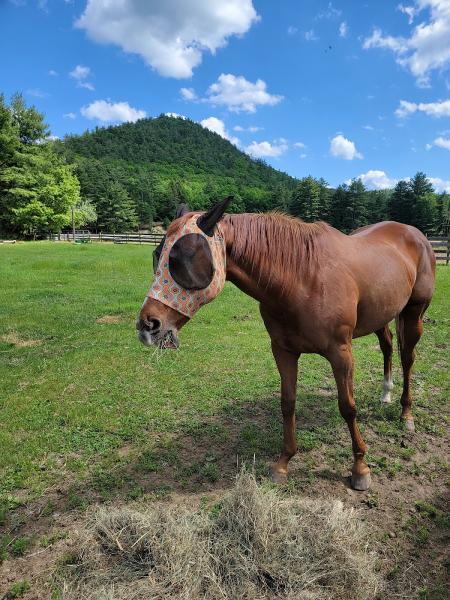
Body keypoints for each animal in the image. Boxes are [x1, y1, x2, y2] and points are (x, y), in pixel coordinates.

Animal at [137, 199, 436, 490]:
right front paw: (284, 463)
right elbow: (288, 403)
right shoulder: (283, 351)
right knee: (387, 346)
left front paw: (360, 468)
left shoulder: (341, 354)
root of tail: (415, 234)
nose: (147, 325)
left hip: (413, 314)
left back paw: (406, 414)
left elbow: (347, 407)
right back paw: (386, 394)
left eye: (181, 259)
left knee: (408, 358)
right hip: (381, 314)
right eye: (157, 255)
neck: (303, 277)